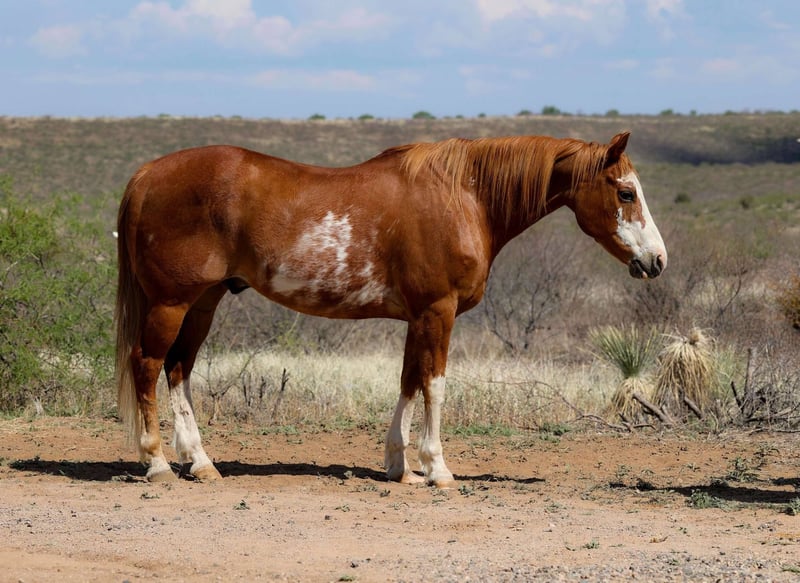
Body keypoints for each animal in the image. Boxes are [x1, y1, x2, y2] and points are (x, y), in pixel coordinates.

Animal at [115, 131, 667, 487]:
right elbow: (435, 385)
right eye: (625, 192)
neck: (463, 197)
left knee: (179, 369)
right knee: (147, 364)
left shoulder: (417, 317)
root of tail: (145, 174)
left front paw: (400, 465)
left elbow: (407, 382)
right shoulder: (438, 312)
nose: (657, 260)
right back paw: (157, 464)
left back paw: (201, 462)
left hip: (204, 302)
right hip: (171, 303)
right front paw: (437, 468)